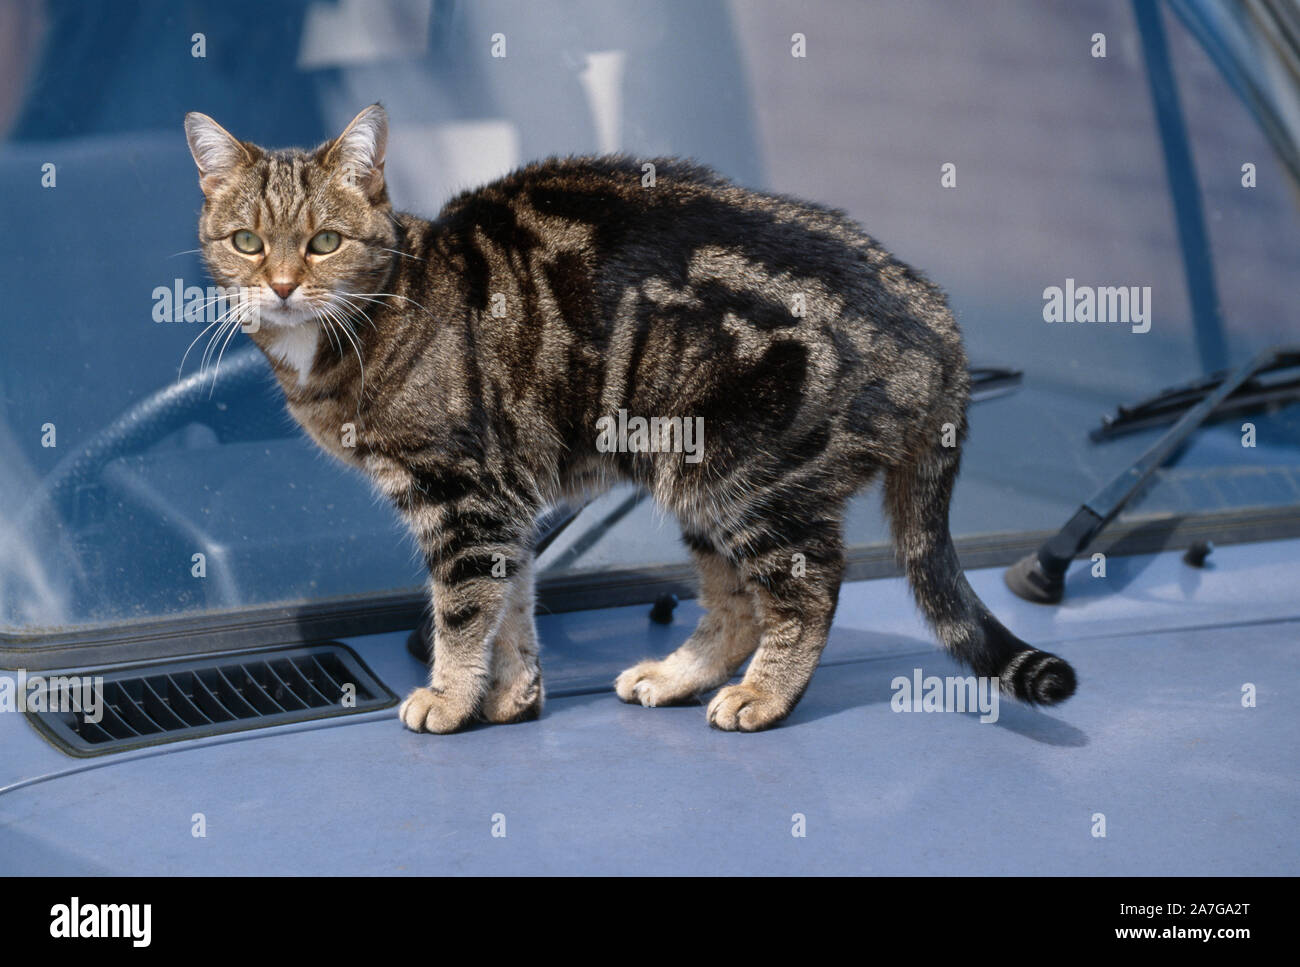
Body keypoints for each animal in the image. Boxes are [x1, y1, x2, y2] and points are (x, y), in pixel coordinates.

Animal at [183, 102, 1076, 733]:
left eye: (325, 241)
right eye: (247, 242)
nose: (283, 284)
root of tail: (937, 320)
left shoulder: (461, 496)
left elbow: (464, 610)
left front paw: (447, 695)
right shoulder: (505, 497)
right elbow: (513, 604)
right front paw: (514, 693)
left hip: (748, 477)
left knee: (809, 588)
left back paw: (764, 696)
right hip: (698, 479)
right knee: (736, 606)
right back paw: (675, 676)